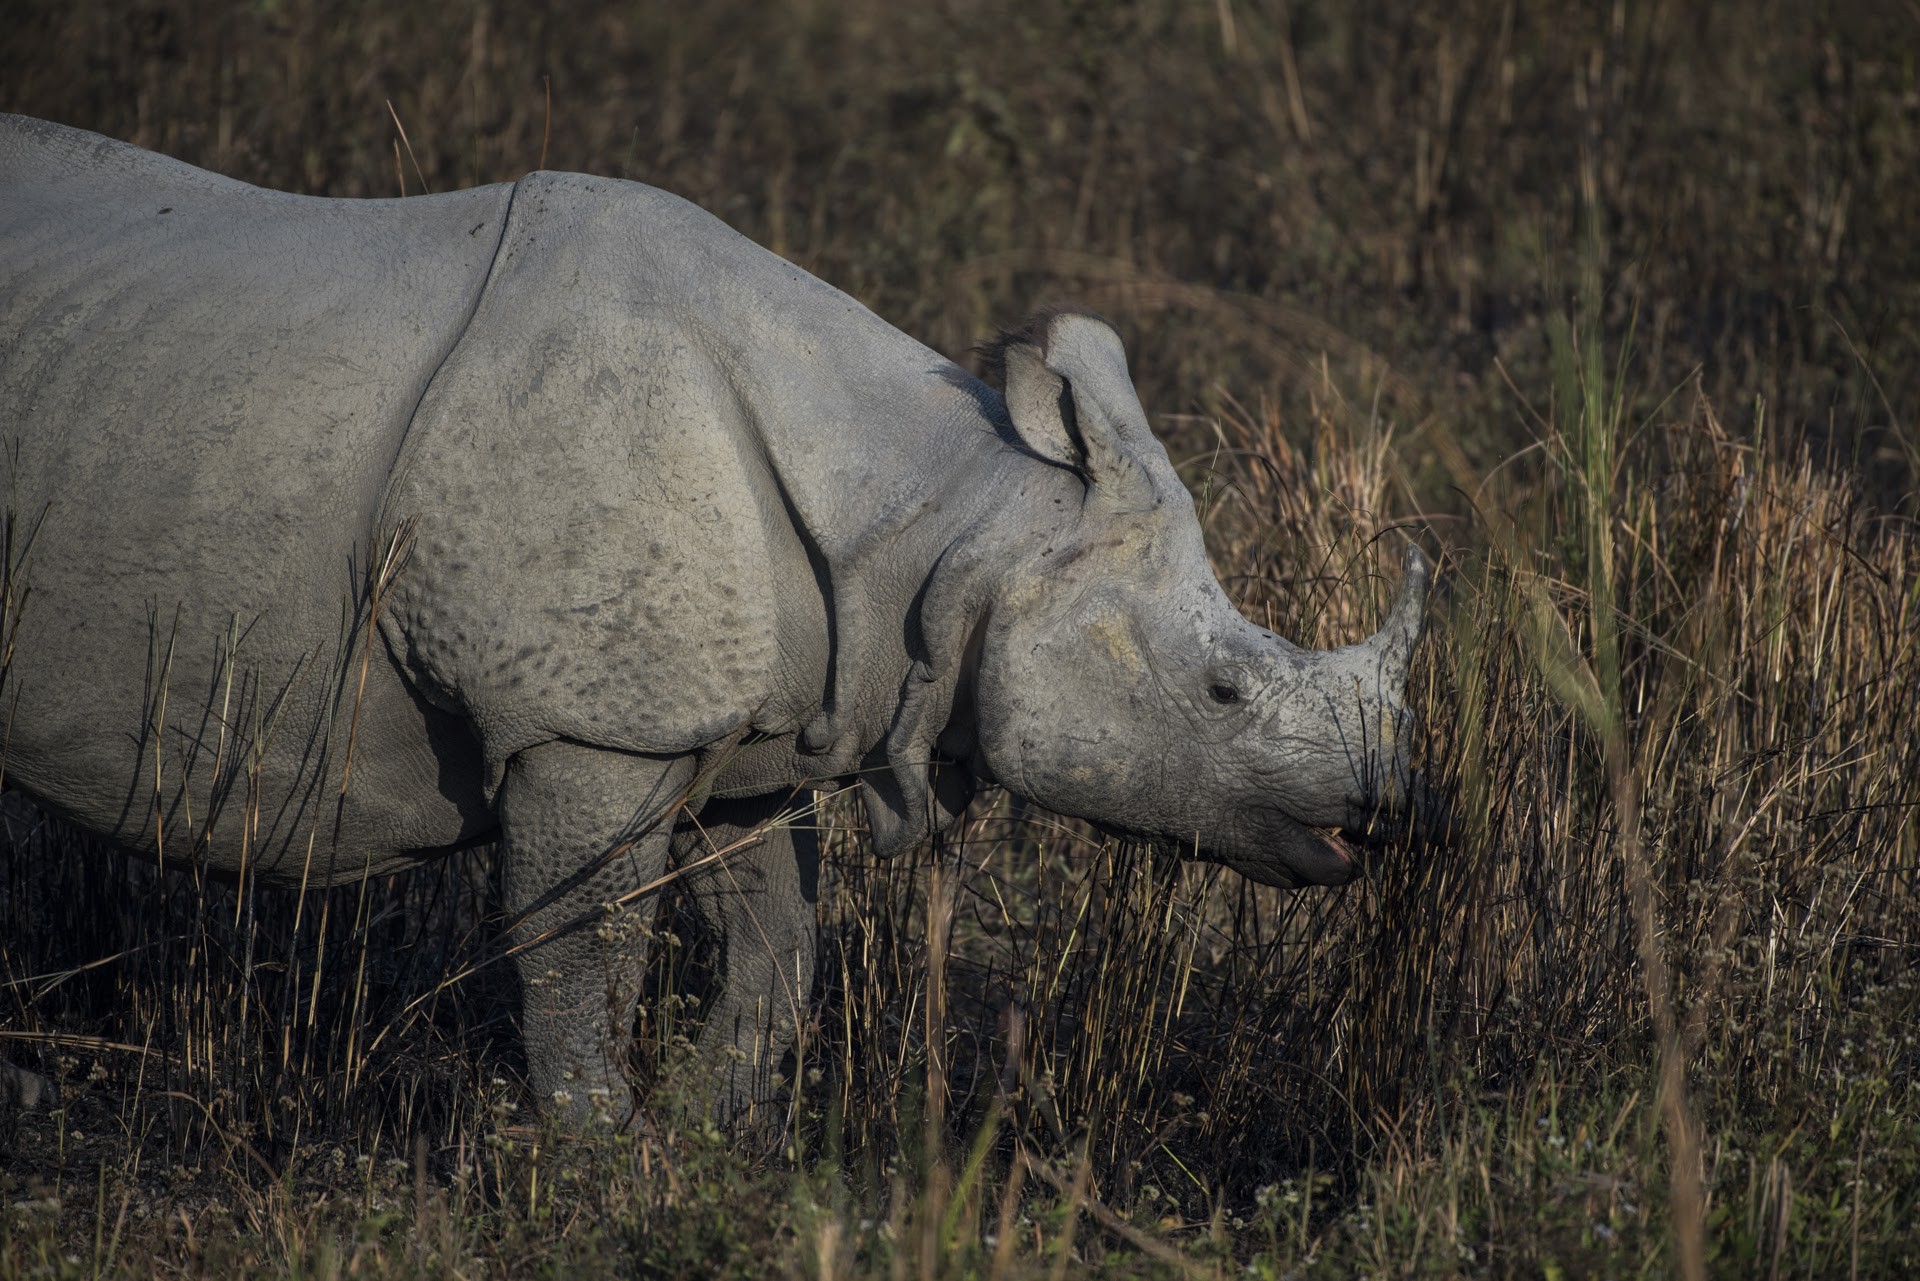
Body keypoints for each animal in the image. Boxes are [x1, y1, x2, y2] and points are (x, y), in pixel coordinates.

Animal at [0, 115, 1433, 1127]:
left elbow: (777, 950)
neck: (942, 526)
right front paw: (595, 1154)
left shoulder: (765, 731)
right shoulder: (589, 724)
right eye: (1221, 692)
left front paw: (703, 1130)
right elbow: (580, 955)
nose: (1379, 818)